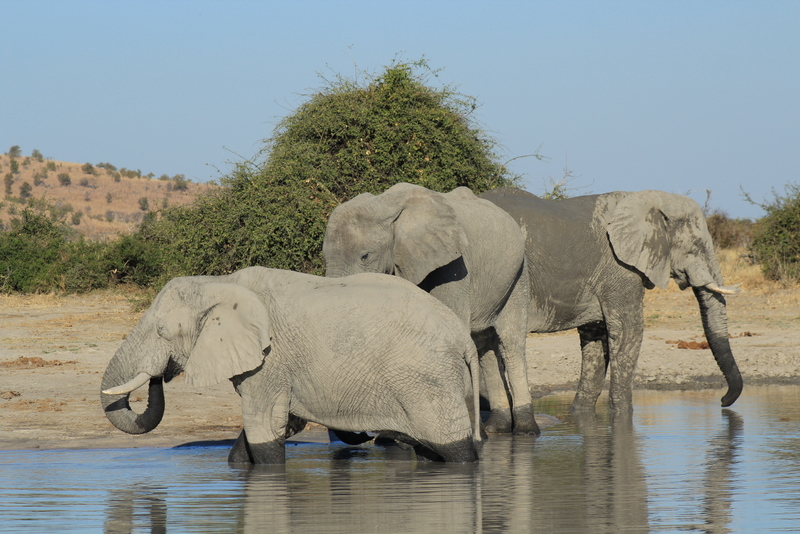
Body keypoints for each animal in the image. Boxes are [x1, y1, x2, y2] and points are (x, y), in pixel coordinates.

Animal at [100, 267, 482, 464]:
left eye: (161, 331)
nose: (161, 373)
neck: (218, 283)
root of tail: (464, 339)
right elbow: (273, 427)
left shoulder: (270, 360)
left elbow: (264, 429)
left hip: (427, 379)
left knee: (455, 448)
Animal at [322, 182, 539, 435]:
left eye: (365, 256)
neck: (385, 205)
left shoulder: (454, 266)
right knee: (484, 343)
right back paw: (496, 428)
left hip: (519, 273)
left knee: (510, 341)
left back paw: (525, 430)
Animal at [479, 187, 743, 412]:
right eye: (696, 246)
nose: (722, 401)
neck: (648, 198)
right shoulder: (619, 268)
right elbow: (628, 331)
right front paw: (623, 415)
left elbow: (596, 338)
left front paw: (580, 415)